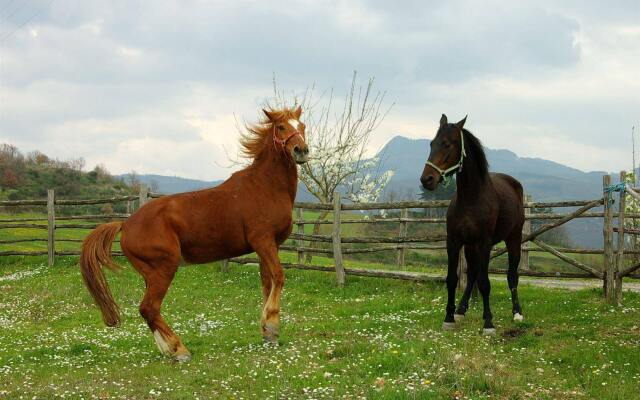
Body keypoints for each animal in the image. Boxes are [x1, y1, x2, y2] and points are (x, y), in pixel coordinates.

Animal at [80, 105, 310, 360]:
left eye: (302, 126)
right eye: (281, 127)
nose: (301, 150)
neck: (266, 187)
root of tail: (126, 223)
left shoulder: (269, 246)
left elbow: (267, 284)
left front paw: (268, 333)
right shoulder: (263, 241)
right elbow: (279, 276)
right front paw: (272, 327)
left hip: (149, 274)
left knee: (149, 311)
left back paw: (168, 349)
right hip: (164, 269)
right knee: (149, 308)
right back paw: (179, 350)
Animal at [420, 113, 524, 334]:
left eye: (447, 144)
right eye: (431, 144)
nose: (427, 180)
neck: (470, 198)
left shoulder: (484, 243)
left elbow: (485, 283)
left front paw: (489, 323)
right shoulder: (454, 242)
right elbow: (453, 279)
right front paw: (449, 317)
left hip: (513, 240)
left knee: (512, 275)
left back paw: (517, 313)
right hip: (470, 247)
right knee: (473, 273)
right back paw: (461, 309)